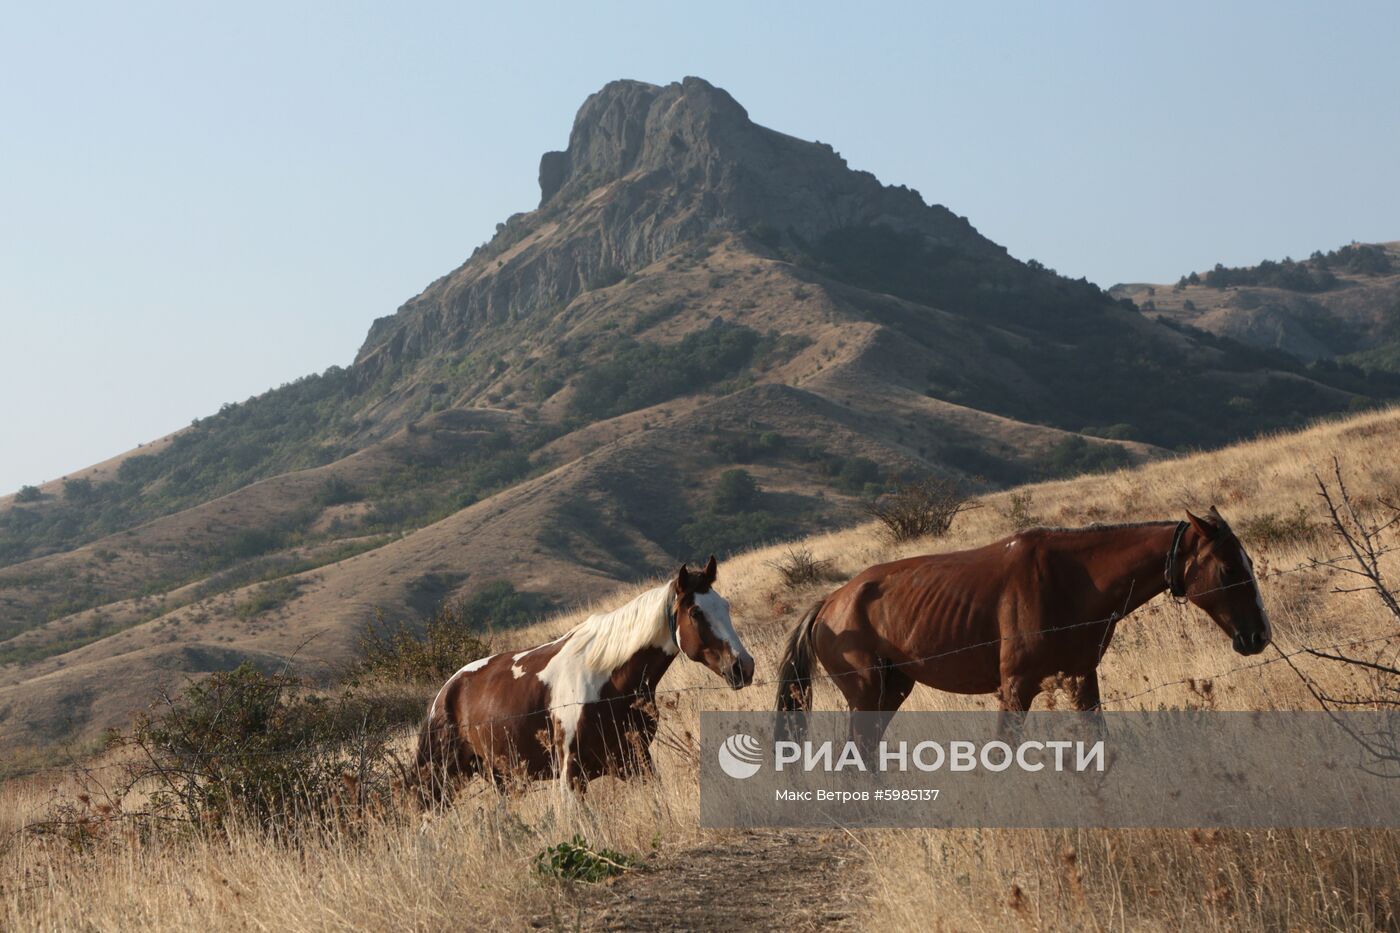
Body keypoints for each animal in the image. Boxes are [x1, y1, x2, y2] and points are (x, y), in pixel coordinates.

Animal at [414, 551, 756, 801]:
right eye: (696, 612)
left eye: (724, 605)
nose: (743, 666)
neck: (608, 681)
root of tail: (443, 694)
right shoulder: (571, 777)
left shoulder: (636, 763)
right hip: (442, 781)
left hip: (504, 780)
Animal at [778, 504, 1271, 739]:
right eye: (1228, 568)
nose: (1258, 635)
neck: (1069, 580)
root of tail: (830, 603)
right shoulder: (1014, 687)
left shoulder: (1081, 678)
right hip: (866, 695)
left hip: (891, 691)